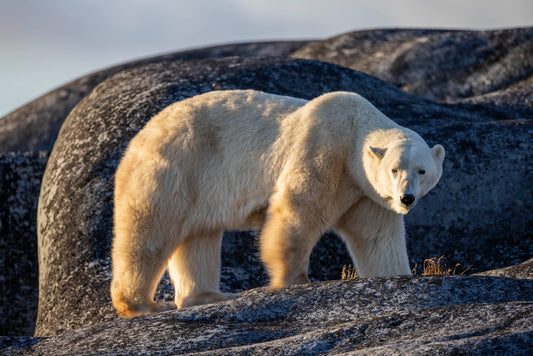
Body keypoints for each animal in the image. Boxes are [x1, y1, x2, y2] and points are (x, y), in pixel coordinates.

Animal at [111, 89, 444, 318]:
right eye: (395, 169)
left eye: (421, 170)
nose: (406, 197)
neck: (352, 133)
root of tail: (141, 135)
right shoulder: (322, 149)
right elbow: (297, 211)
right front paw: (294, 280)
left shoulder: (364, 193)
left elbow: (377, 239)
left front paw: (396, 276)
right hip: (174, 165)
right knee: (149, 231)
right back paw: (143, 305)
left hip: (198, 184)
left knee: (198, 236)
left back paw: (208, 296)